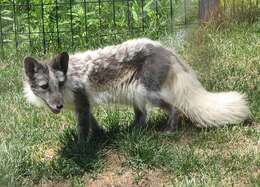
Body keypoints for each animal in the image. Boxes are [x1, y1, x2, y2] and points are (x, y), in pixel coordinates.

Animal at [23, 38, 250, 142]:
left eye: (60, 84)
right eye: (45, 86)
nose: (59, 105)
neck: (71, 77)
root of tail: (164, 48)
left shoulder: (82, 106)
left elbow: (83, 130)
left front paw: (81, 148)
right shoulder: (84, 106)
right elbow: (94, 125)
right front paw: (100, 136)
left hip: (148, 93)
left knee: (174, 108)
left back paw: (169, 130)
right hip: (136, 94)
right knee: (143, 116)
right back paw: (133, 132)